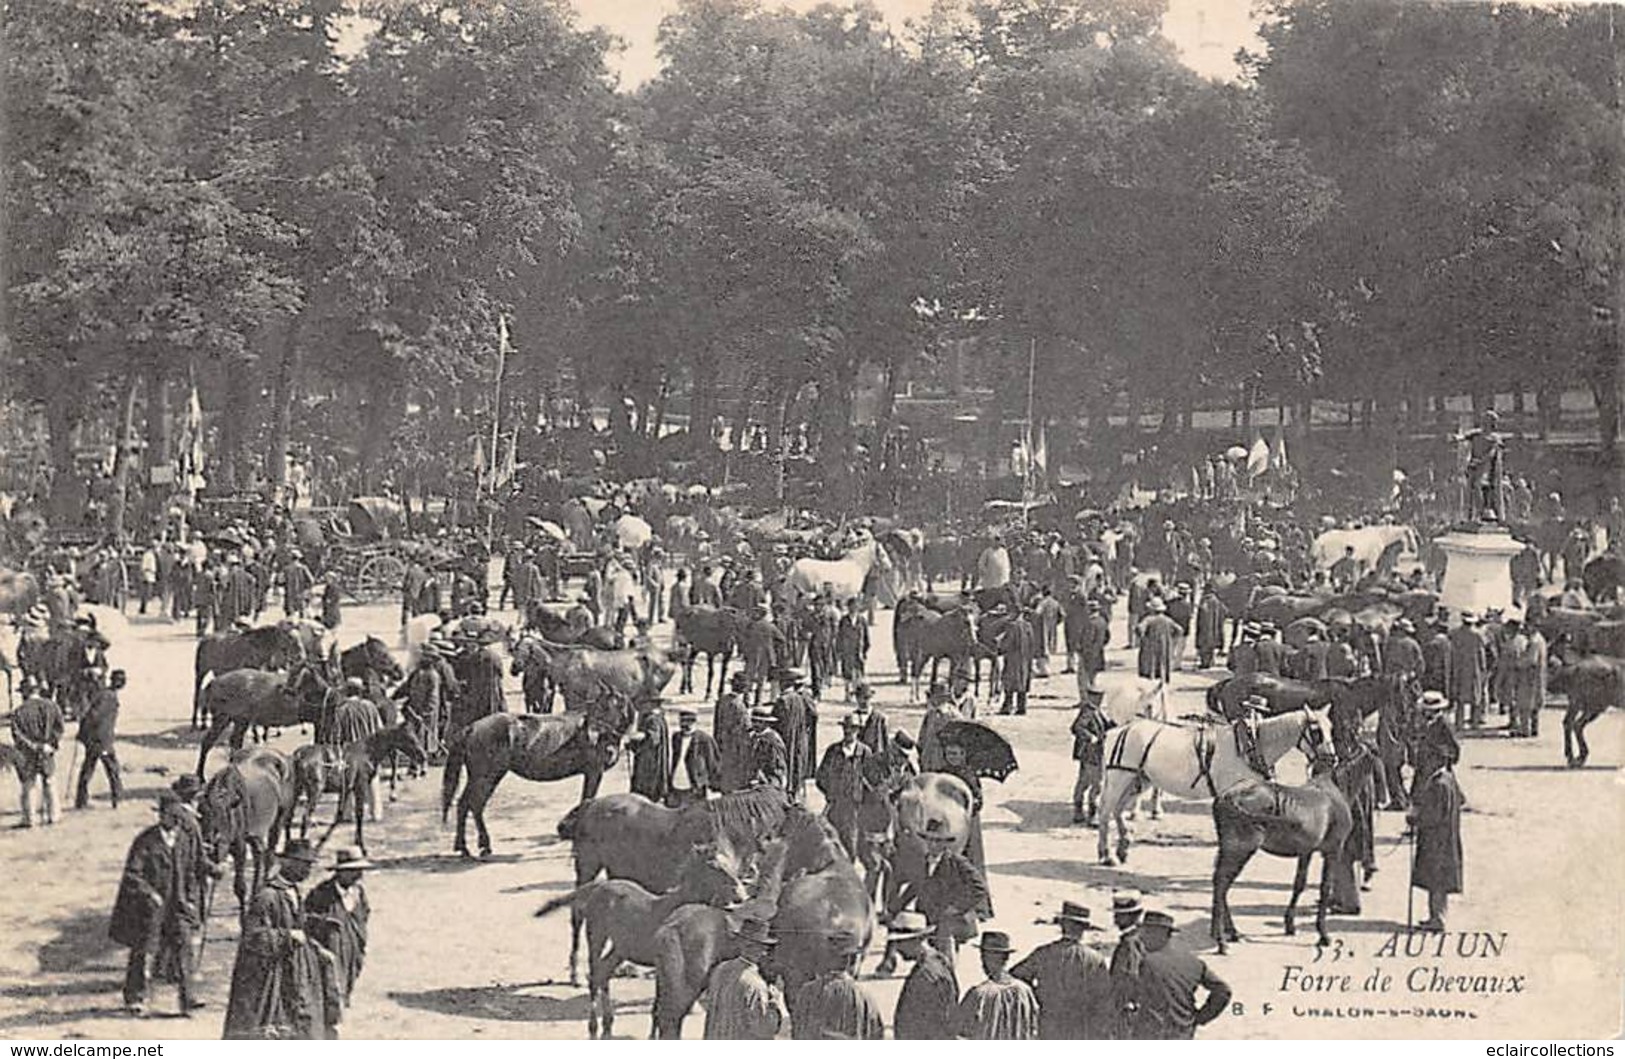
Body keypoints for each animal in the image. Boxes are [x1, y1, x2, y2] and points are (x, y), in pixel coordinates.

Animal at [445, 695, 633, 857]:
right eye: (601, 707)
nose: (591, 735)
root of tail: (471, 728)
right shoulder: (594, 772)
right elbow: (587, 797)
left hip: (480, 777)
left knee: (464, 804)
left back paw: (463, 847)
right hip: (486, 776)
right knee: (475, 805)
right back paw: (482, 845)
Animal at [1092, 701, 1332, 870]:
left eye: (1331, 727)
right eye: (1316, 731)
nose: (1332, 759)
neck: (1250, 745)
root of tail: (1118, 730)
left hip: (1139, 779)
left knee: (1117, 809)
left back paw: (1123, 847)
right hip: (1120, 776)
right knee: (1106, 810)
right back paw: (1107, 855)